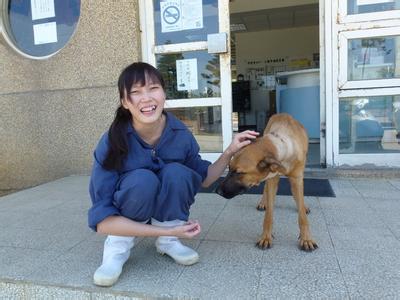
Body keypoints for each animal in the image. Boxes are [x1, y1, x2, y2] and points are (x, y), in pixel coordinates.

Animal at [217, 112, 318, 251]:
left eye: (239, 173)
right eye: (229, 167)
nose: (217, 191)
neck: (283, 145)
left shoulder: (297, 178)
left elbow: (302, 215)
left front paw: (306, 238)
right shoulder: (271, 179)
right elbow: (269, 214)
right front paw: (266, 237)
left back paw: (302, 205)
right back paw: (263, 202)